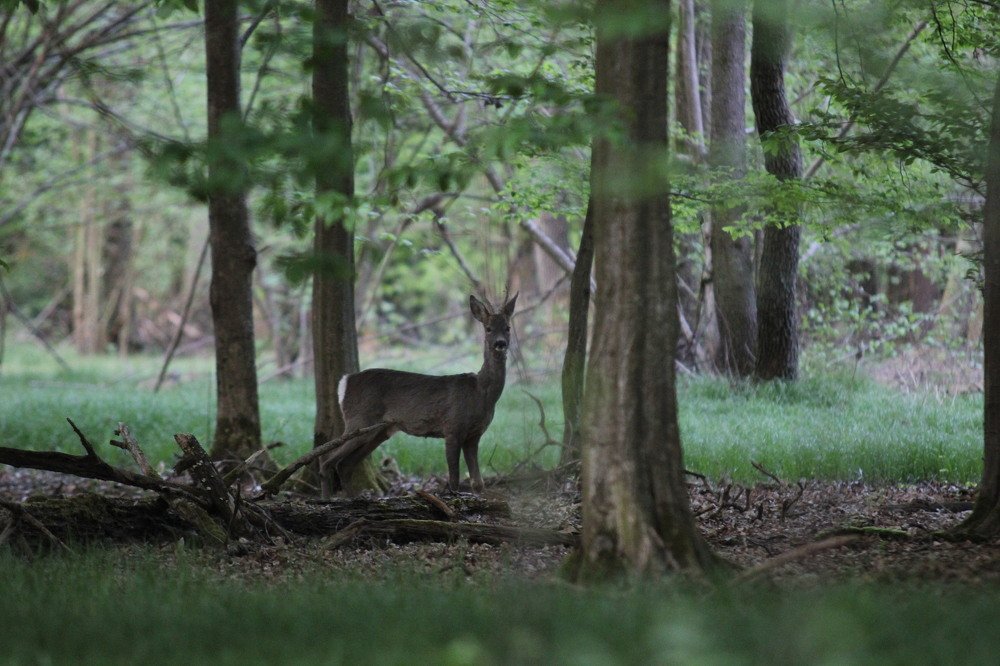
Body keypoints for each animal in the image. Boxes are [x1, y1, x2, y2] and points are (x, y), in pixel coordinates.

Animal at [321, 293, 518, 496]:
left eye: (508, 327)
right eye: (488, 328)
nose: (500, 343)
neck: (481, 392)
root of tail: (345, 381)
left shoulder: (474, 434)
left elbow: (478, 483)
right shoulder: (452, 427)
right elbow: (454, 479)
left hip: (379, 431)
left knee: (344, 464)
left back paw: (351, 498)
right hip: (359, 420)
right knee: (327, 460)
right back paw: (327, 498)